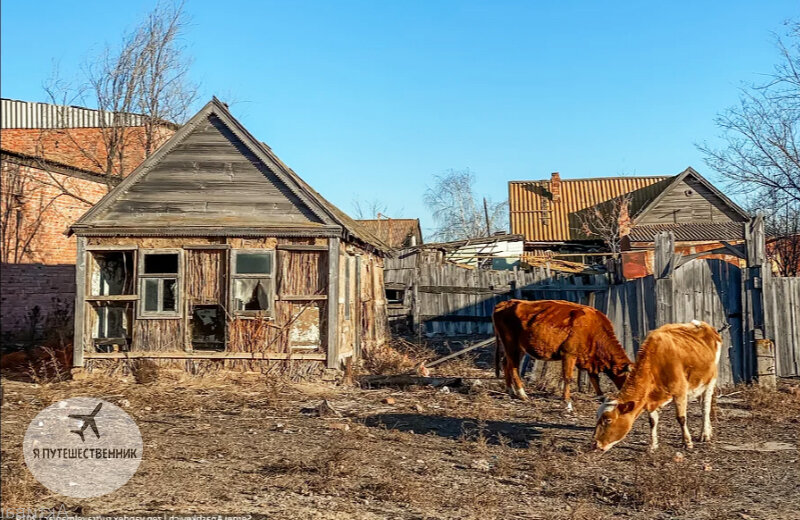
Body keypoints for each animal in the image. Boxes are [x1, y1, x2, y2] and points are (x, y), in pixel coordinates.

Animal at [490, 300, 636, 410]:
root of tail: (507, 302)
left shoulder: (590, 358)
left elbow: (595, 379)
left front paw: (602, 396)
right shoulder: (569, 354)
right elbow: (568, 378)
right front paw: (567, 401)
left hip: (519, 348)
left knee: (506, 363)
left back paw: (510, 390)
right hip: (511, 345)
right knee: (513, 367)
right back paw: (522, 394)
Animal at [592, 316, 720, 450]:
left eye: (608, 420)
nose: (595, 444)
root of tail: (703, 325)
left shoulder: (680, 391)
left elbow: (681, 418)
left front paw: (687, 442)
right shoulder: (650, 396)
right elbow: (652, 421)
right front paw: (653, 445)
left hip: (711, 380)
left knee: (705, 407)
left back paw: (705, 434)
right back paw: (708, 431)